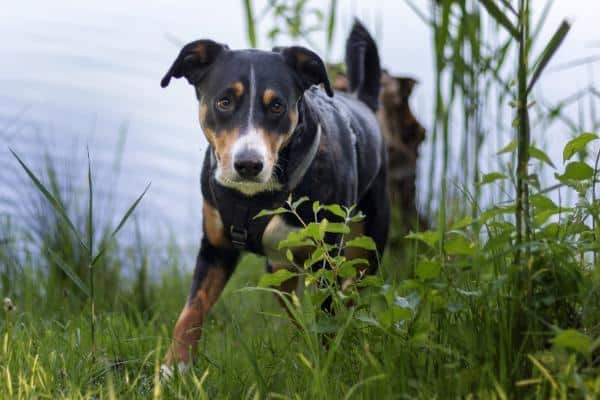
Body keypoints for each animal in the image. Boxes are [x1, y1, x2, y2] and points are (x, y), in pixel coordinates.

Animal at [158, 20, 390, 374]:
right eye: (224, 102)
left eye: (277, 106)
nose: (248, 164)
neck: (253, 197)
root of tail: (362, 100)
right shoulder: (215, 247)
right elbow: (191, 311)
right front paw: (174, 368)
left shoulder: (326, 259)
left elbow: (327, 317)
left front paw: (327, 367)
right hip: (279, 270)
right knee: (296, 310)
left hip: (366, 248)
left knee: (351, 295)